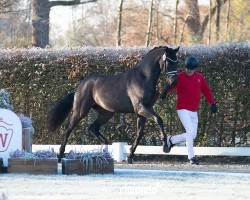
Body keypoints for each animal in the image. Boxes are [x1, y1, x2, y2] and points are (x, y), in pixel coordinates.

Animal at [47, 46, 180, 163]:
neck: (144, 78)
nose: (173, 82)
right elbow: (159, 119)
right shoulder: (141, 108)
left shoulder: (142, 112)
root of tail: (80, 87)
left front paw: (130, 156)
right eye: (168, 61)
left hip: (107, 113)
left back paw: (105, 148)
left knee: (93, 127)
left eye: (177, 61)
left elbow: (139, 134)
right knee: (68, 130)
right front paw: (165, 146)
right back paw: (59, 156)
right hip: (80, 111)